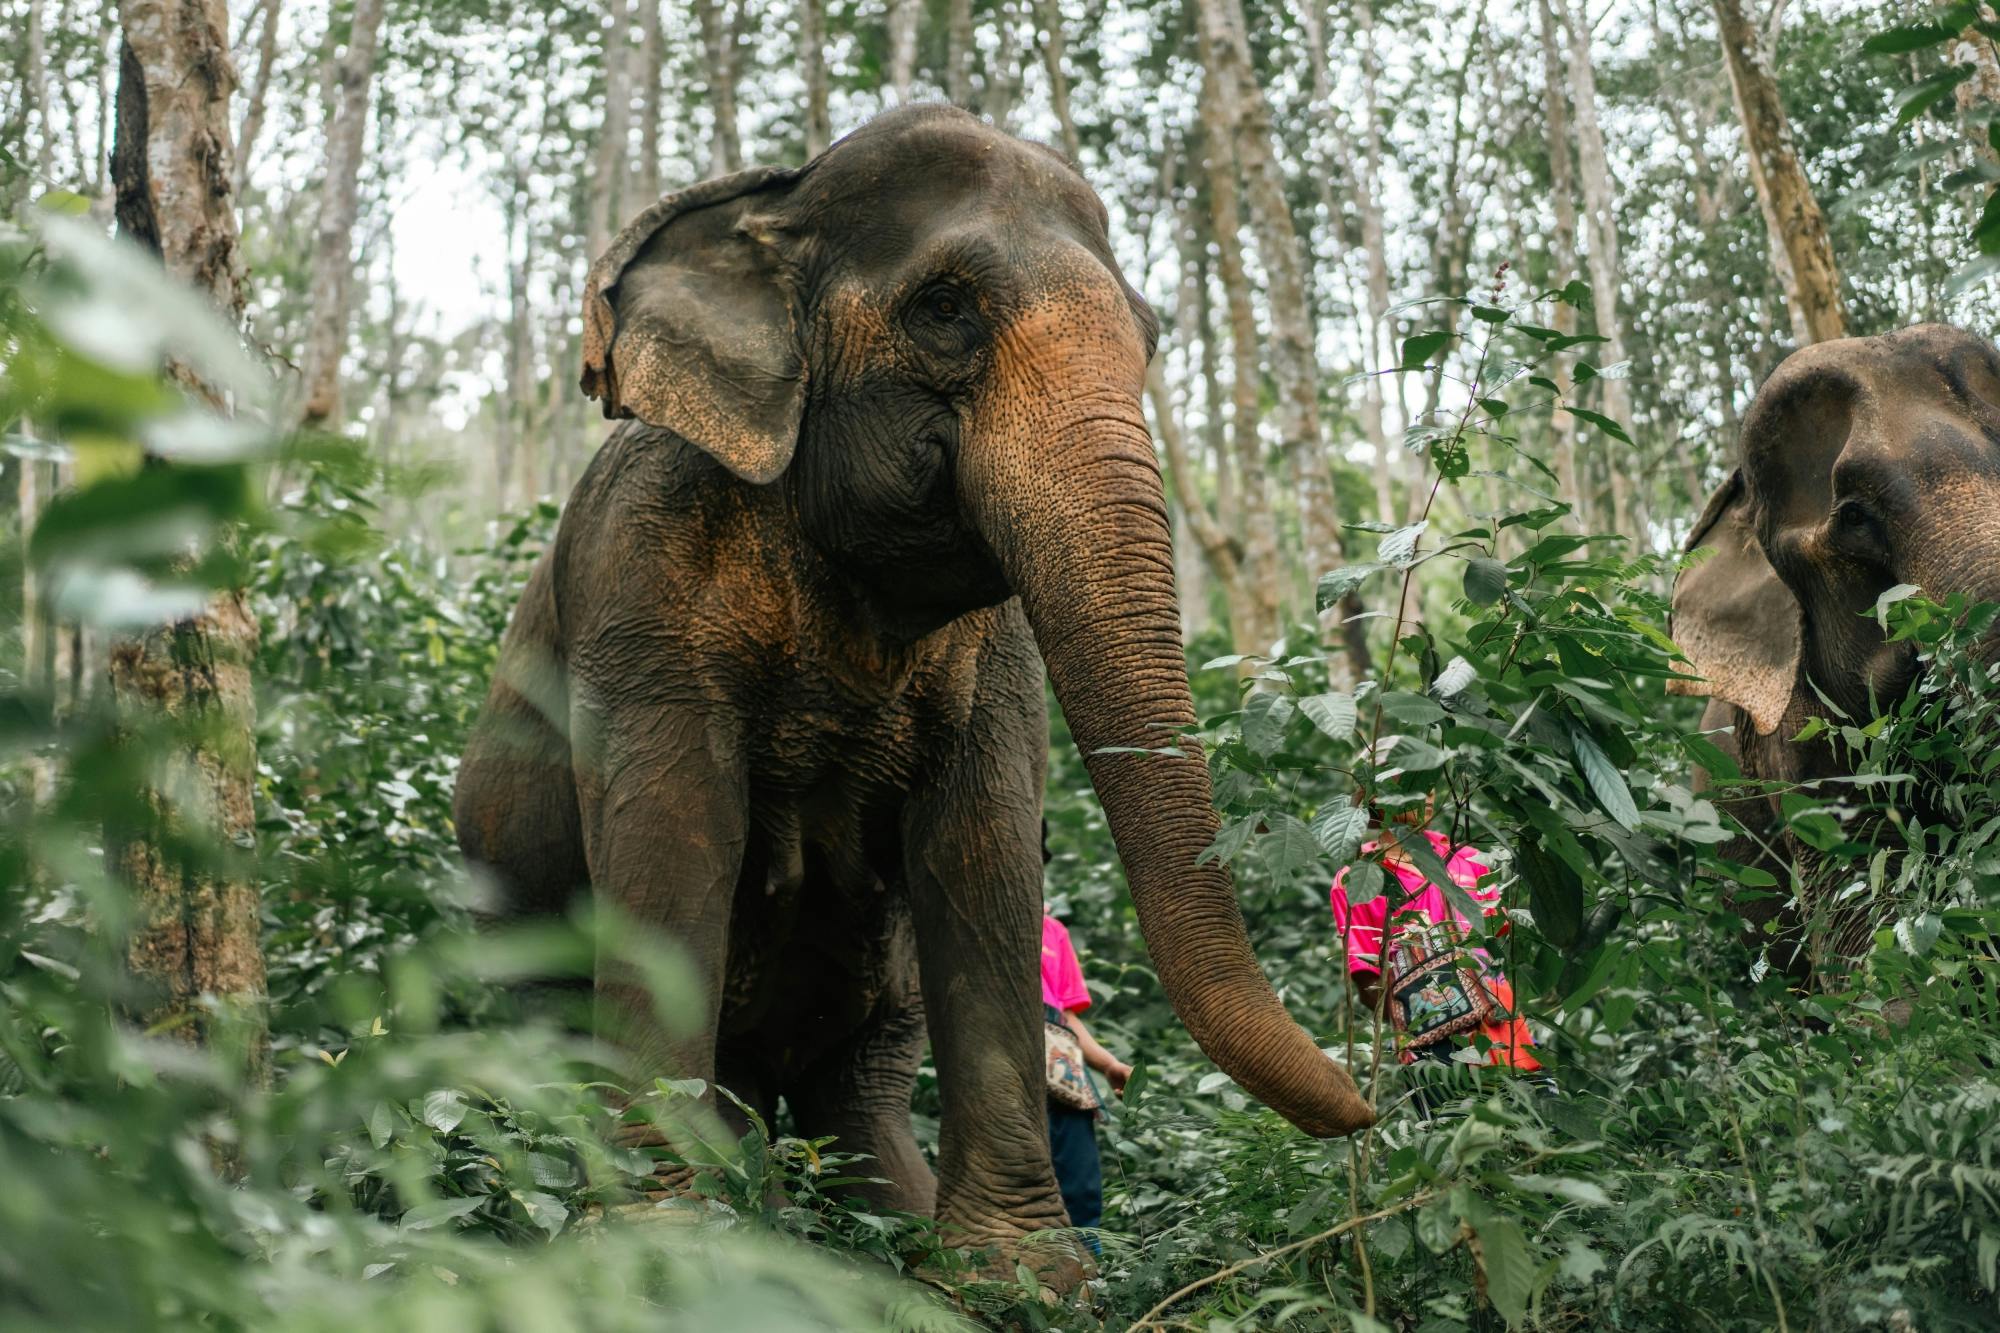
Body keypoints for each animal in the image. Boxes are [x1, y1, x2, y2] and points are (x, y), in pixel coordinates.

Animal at [451, 104, 1373, 1272]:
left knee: (856, 1073)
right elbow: (672, 835)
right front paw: (667, 1247)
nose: (1370, 1107)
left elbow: (980, 844)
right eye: (944, 308)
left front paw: (1022, 1277)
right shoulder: (641, 576)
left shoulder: (997, 654)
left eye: (1152, 336)